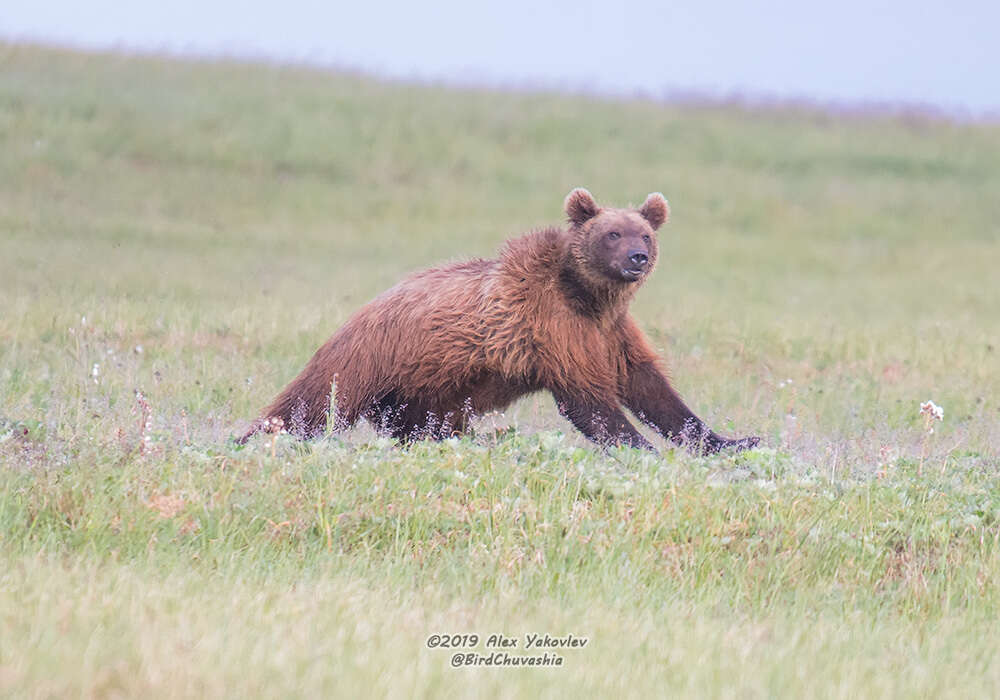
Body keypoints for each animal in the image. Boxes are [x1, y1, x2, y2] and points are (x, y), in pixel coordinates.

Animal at [240, 189, 756, 454]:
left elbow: (652, 390)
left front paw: (731, 440)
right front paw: (641, 447)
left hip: (428, 391)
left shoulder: (612, 333)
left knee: (421, 426)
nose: (637, 258)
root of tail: (365, 308)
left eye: (644, 232)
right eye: (612, 232)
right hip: (371, 358)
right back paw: (252, 438)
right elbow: (590, 401)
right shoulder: (553, 328)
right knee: (309, 406)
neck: (586, 297)